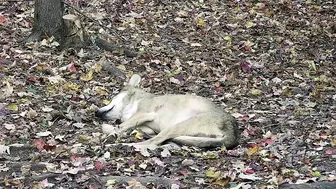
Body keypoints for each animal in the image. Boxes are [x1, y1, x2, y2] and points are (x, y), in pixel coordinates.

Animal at [94, 74, 239, 149]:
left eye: (111, 98)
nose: (96, 113)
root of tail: (234, 134)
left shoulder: (145, 113)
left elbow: (121, 125)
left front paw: (111, 132)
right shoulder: (147, 127)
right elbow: (124, 127)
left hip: (176, 126)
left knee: (152, 142)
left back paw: (123, 145)